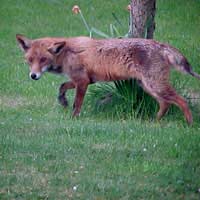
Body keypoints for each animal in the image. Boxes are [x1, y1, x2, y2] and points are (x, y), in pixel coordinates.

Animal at [16, 35, 200, 124]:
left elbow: (77, 104)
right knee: (165, 103)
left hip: (155, 85)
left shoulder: (82, 82)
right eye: (30, 60)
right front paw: (62, 101)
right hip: (148, 86)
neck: (67, 52)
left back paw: (189, 124)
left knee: (181, 101)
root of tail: (159, 44)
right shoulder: (85, 79)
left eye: (43, 60)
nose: (33, 76)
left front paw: (73, 120)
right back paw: (155, 122)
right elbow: (62, 86)